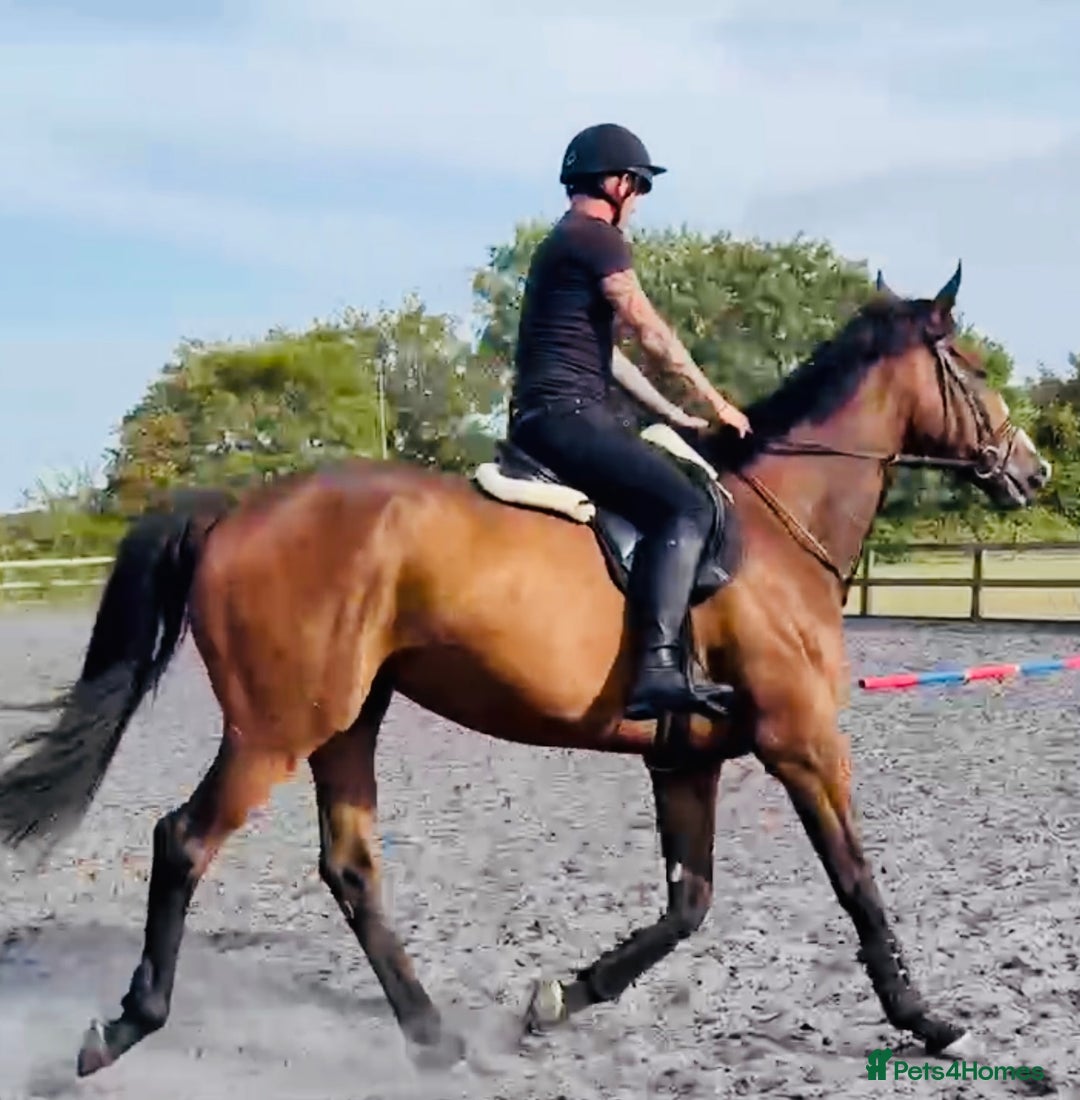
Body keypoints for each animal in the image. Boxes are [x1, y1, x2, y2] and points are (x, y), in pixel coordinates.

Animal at [0, 261, 1051, 1079]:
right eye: (976, 369)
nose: (1032, 470)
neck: (773, 528)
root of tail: (234, 509)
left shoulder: (685, 759)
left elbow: (688, 904)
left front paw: (557, 997)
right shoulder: (803, 742)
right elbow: (856, 881)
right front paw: (930, 1020)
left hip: (351, 718)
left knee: (350, 866)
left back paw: (432, 1037)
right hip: (278, 724)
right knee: (184, 840)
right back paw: (123, 1028)